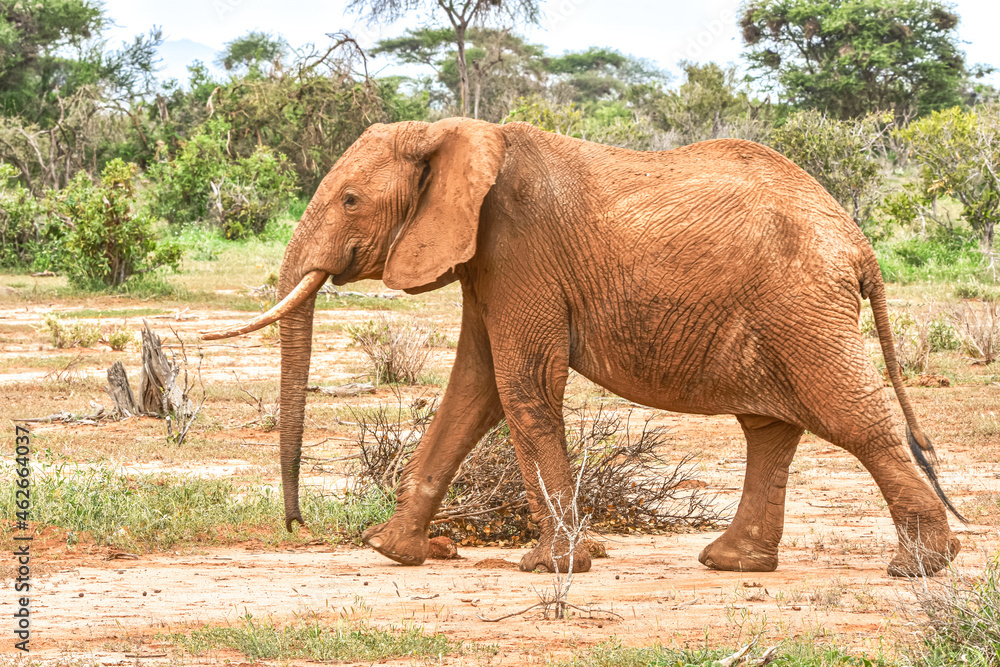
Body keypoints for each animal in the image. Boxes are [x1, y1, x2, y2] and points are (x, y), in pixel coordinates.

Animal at [201, 117, 960, 576]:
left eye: (351, 200)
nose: (296, 523)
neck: (459, 133)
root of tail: (858, 241)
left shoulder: (519, 250)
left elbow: (522, 384)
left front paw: (555, 564)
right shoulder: (487, 263)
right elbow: (473, 389)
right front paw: (399, 551)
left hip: (801, 305)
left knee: (850, 416)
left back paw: (922, 565)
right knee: (770, 427)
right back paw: (731, 562)